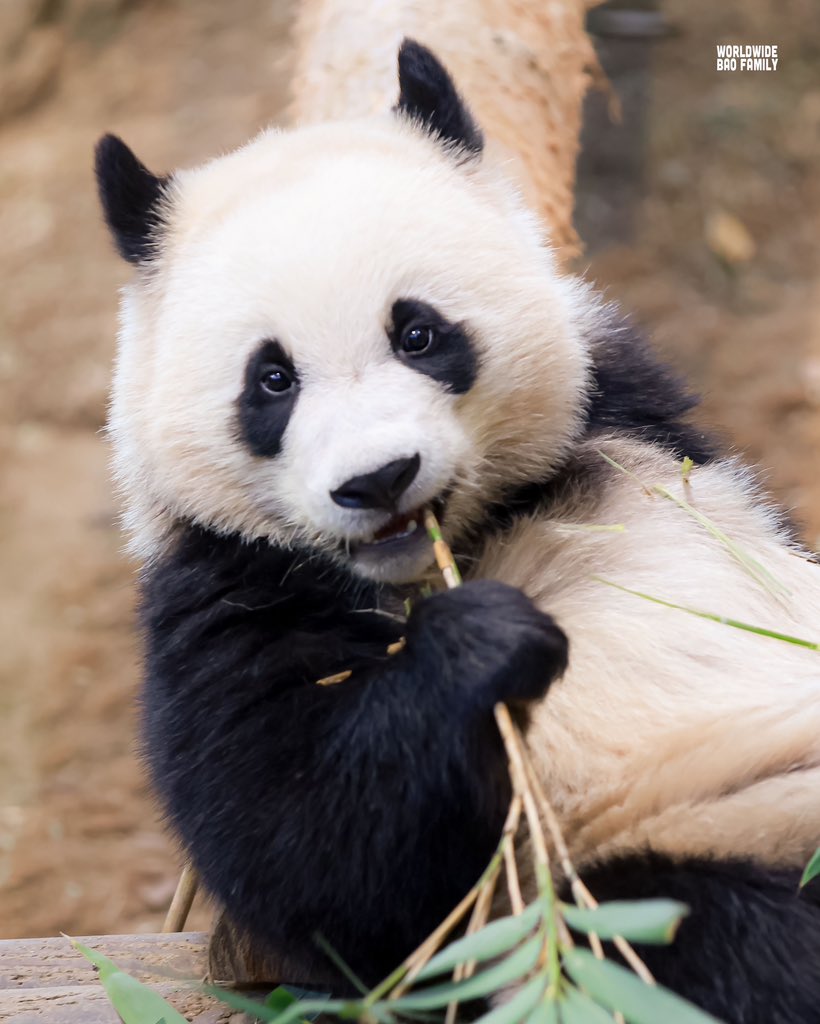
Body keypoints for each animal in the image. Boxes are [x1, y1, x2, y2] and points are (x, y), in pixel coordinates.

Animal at [92, 39, 818, 1024]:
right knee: (708, 941)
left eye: (419, 333)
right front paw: (485, 643)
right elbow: (312, 848)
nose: (378, 479)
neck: (436, 561)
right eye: (271, 379)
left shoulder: (641, 424)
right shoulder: (222, 583)